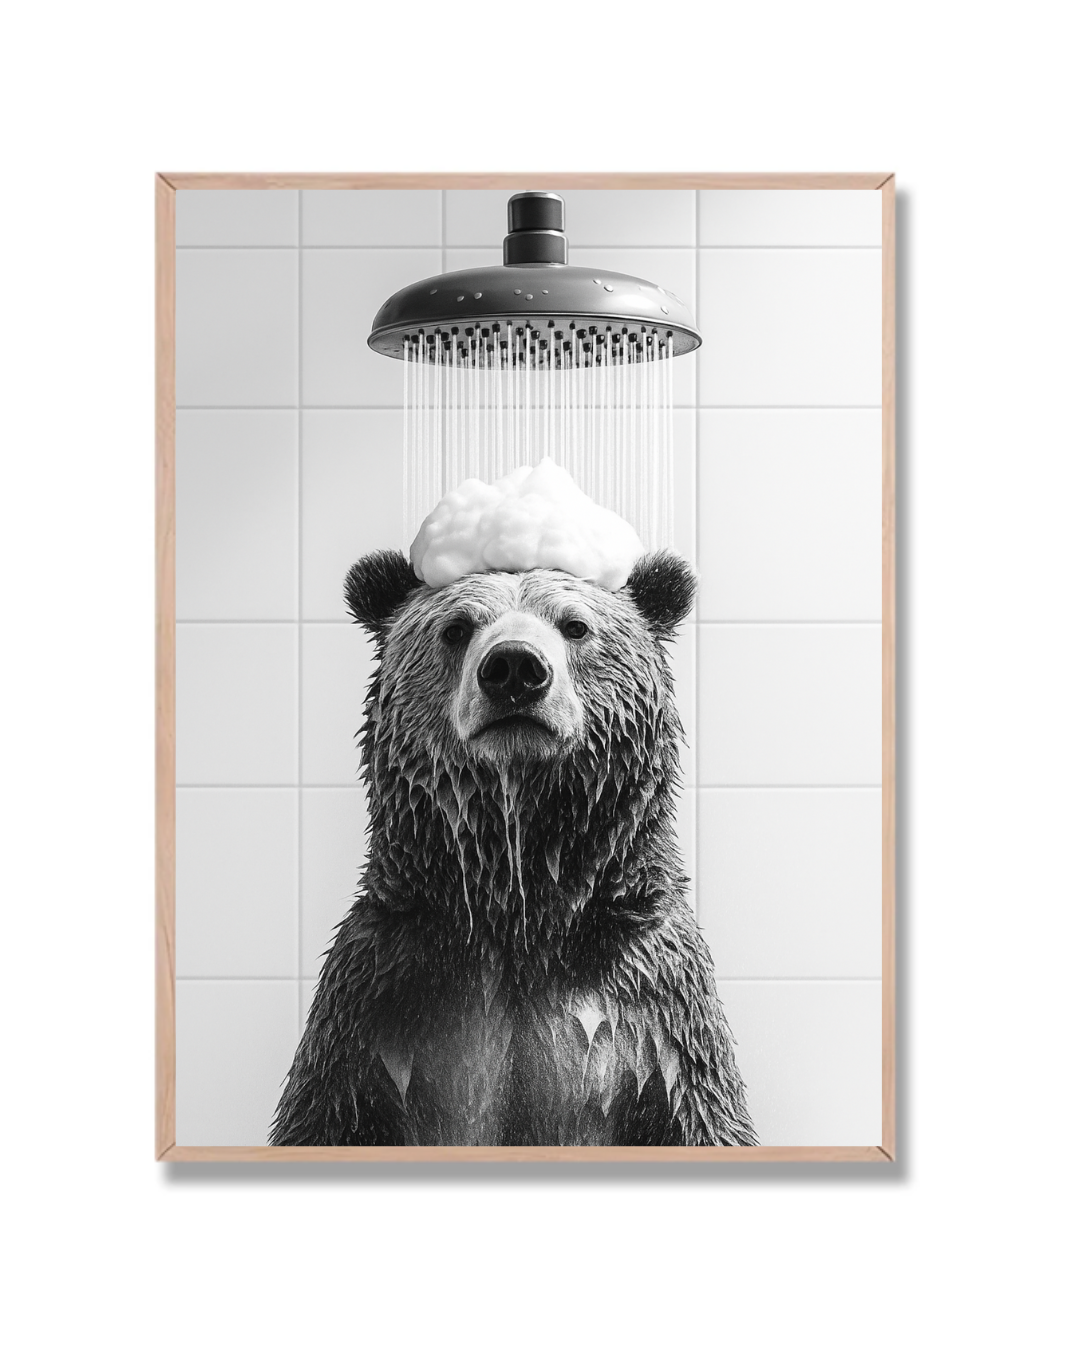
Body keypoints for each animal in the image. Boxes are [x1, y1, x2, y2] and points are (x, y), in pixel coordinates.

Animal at [270, 550, 756, 1147]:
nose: (515, 668)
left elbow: (705, 1117)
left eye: (575, 625)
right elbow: (321, 1116)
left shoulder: (659, 1010)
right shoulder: (376, 999)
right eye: (456, 627)